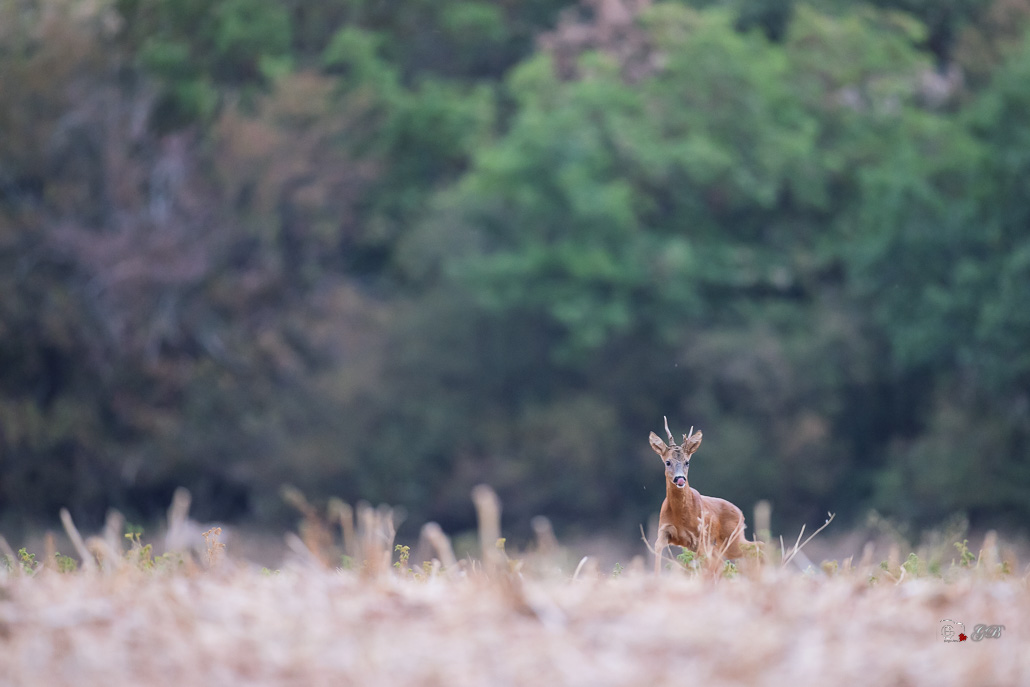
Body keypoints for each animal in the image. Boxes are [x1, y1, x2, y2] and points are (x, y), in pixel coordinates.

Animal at [650, 416, 747, 574]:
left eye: (687, 462)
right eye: (668, 462)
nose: (680, 479)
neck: (680, 516)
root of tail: (740, 513)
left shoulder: (699, 536)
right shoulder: (664, 529)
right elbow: (657, 548)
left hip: (732, 539)